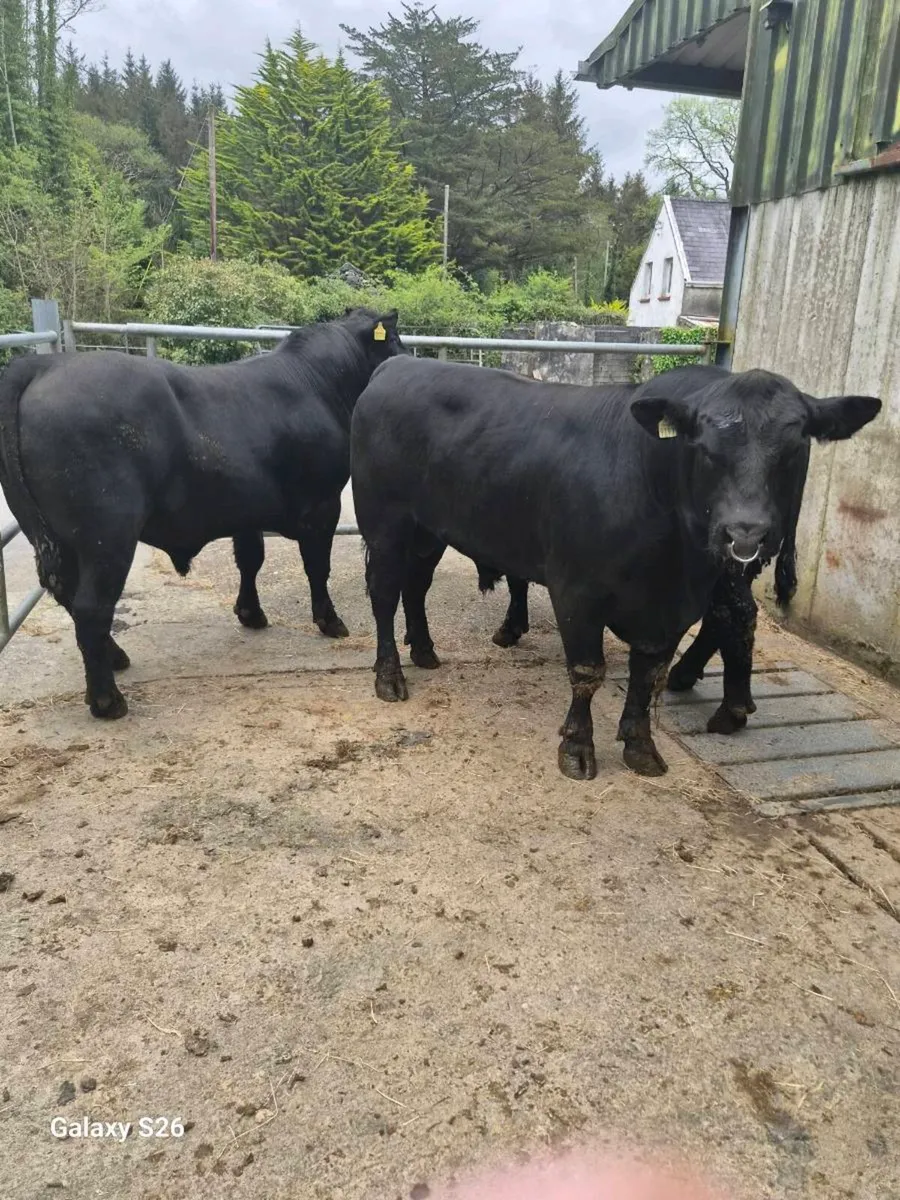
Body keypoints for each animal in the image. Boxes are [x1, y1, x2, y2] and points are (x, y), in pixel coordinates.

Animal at [0, 308, 405, 719]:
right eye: (394, 338)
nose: (405, 358)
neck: (316, 381)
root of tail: (44, 364)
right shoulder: (323, 504)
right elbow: (318, 568)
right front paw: (329, 620)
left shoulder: (247, 509)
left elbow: (250, 560)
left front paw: (251, 613)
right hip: (107, 536)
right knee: (90, 607)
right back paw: (107, 699)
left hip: (54, 537)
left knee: (68, 597)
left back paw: (115, 657)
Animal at [353, 358, 879, 779]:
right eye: (705, 448)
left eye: (792, 448)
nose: (745, 534)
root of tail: (398, 363)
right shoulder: (575, 591)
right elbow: (587, 671)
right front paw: (577, 748)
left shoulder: (677, 605)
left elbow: (649, 676)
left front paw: (641, 745)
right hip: (384, 522)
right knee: (384, 593)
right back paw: (389, 676)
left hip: (429, 530)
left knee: (415, 587)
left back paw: (424, 650)